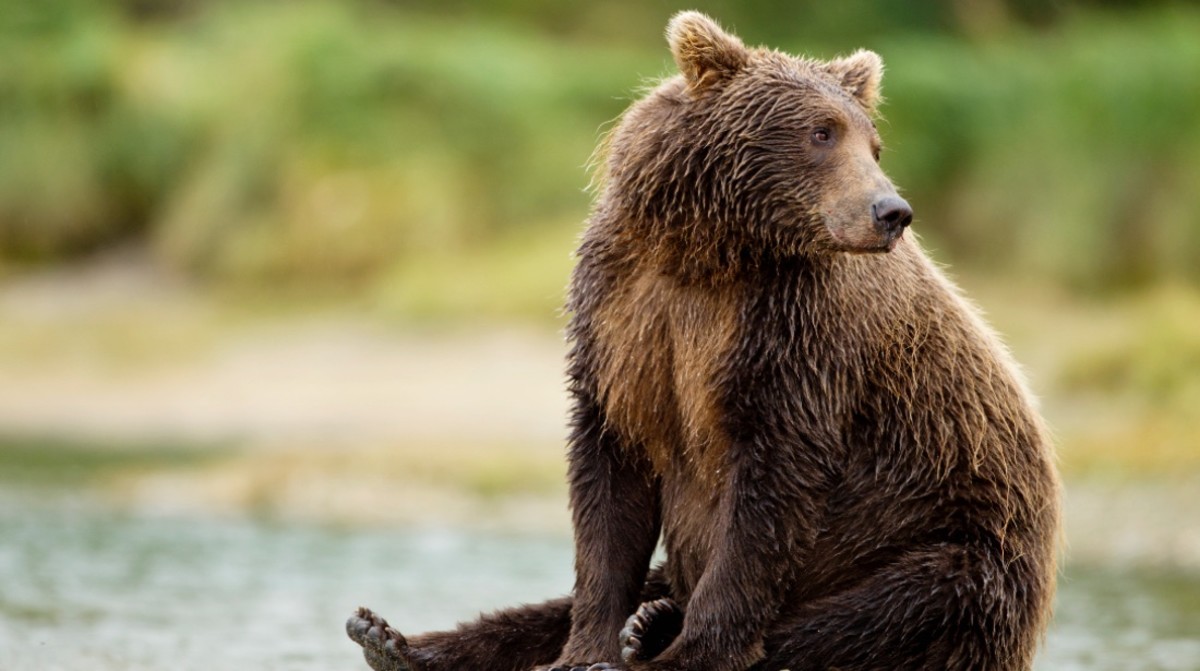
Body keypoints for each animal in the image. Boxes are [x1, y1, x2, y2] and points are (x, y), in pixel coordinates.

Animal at [348, 10, 1060, 671]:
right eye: (821, 131)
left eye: (873, 143)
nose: (891, 211)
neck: (710, 252)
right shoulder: (623, 317)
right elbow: (609, 489)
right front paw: (587, 647)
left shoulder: (795, 335)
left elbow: (766, 495)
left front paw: (691, 649)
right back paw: (395, 638)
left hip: (957, 539)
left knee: (884, 613)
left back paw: (656, 634)